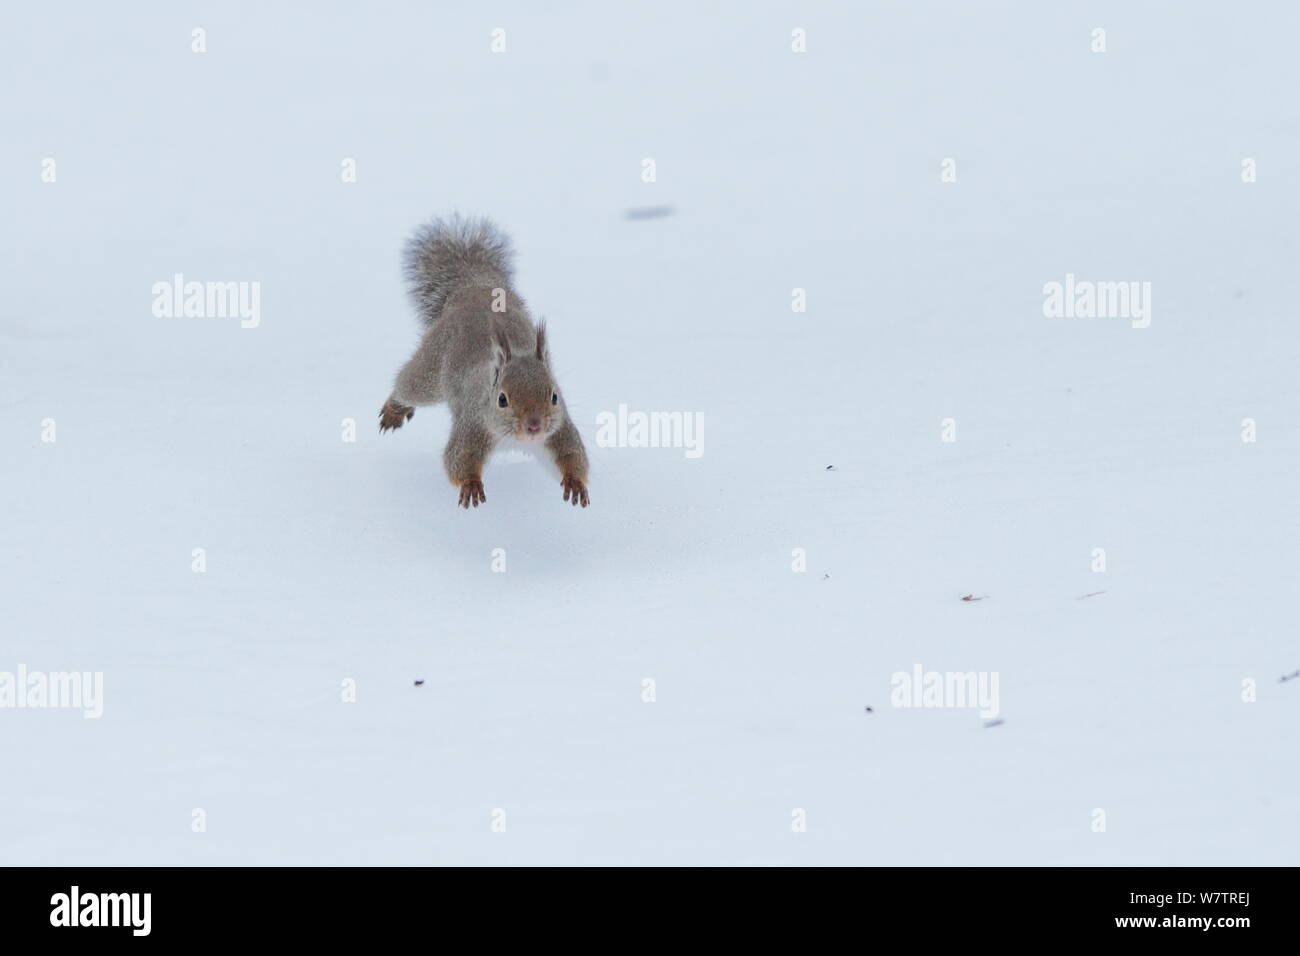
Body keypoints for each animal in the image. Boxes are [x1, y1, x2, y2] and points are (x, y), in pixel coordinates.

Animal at [379, 215, 592, 509]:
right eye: (502, 399)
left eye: (554, 397)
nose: (534, 426)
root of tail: (473, 286)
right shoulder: (472, 425)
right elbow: (457, 459)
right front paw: (470, 484)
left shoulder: (559, 431)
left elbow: (573, 456)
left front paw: (575, 482)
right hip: (431, 369)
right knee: (408, 385)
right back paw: (394, 409)